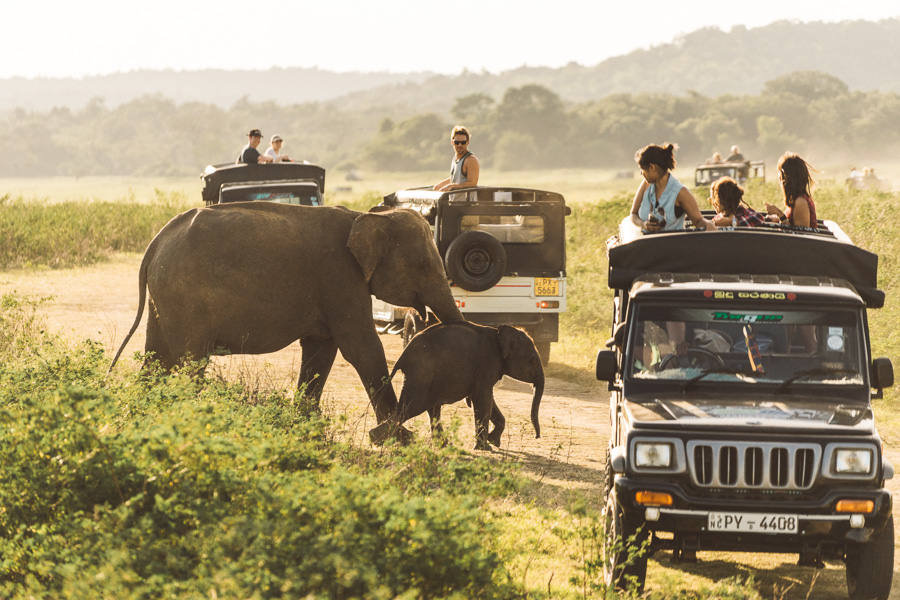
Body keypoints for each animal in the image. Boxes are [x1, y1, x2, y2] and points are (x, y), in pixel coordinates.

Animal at [109, 202, 464, 422]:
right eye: (423, 266)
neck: (368, 215)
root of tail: (156, 241)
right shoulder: (340, 277)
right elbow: (361, 348)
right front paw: (396, 438)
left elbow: (321, 349)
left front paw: (306, 426)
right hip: (183, 295)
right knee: (189, 360)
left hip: (164, 295)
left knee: (157, 356)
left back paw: (142, 416)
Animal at [370, 322, 544, 448]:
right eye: (532, 360)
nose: (537, 437)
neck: (500, 332)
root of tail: (403, 355)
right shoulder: (488, 361)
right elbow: (483, 396)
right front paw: (485, 447)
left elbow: (483, 397)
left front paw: (493, 441)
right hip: (420, 373)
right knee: (410, 408)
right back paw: (376, 439)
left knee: (430, 408)